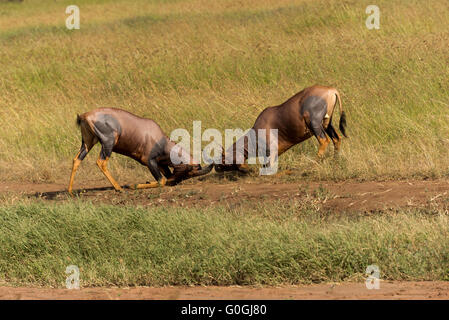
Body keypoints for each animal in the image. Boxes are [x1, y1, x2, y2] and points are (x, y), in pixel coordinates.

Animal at [67, 107, 213, 194]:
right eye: (189, 170)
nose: (174, 182)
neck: (160, 140)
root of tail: (85, 116)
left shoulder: (161, 164)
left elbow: (163, 178)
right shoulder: (149, 161)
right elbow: (162, 181)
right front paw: (132, 186)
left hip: (88, 142)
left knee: (77, 159)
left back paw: (70, 191)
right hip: (108, 142)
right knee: (101, 162)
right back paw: (119, 188)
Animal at [214, 84, 346, 171]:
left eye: (223, 160)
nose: (217, 169)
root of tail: (331, 90)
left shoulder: (271, 151)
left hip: (315, 124)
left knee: (324, 141)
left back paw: (312, 165)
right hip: (327, 123)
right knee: (337, 138)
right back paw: (335, 162)